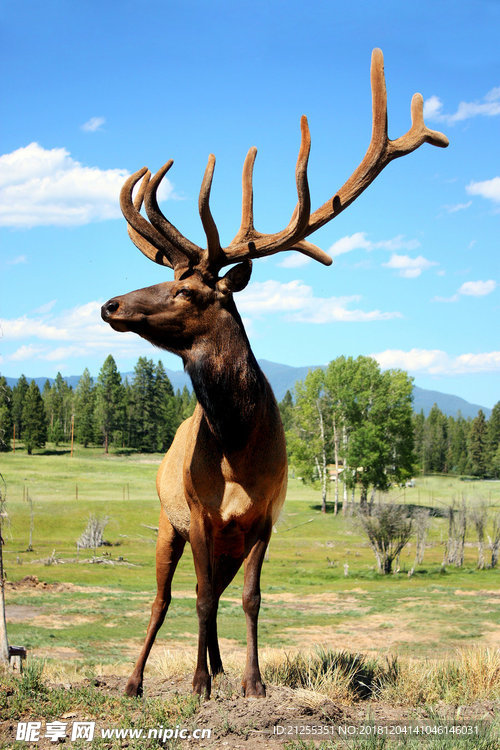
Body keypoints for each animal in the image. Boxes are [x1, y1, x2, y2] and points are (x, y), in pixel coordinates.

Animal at [101, 49, 448, 699]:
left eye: (187, 290)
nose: (110, 304)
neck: (237, 446)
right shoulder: (200, 514)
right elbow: (199, 597)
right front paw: (199, 686)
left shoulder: (264, 517)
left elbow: (251, 599)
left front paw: (250, 683)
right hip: (165, 519)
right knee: (162, 599)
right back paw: (137, 681)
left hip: (217, 536)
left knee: (202, 595)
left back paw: (214, 666)